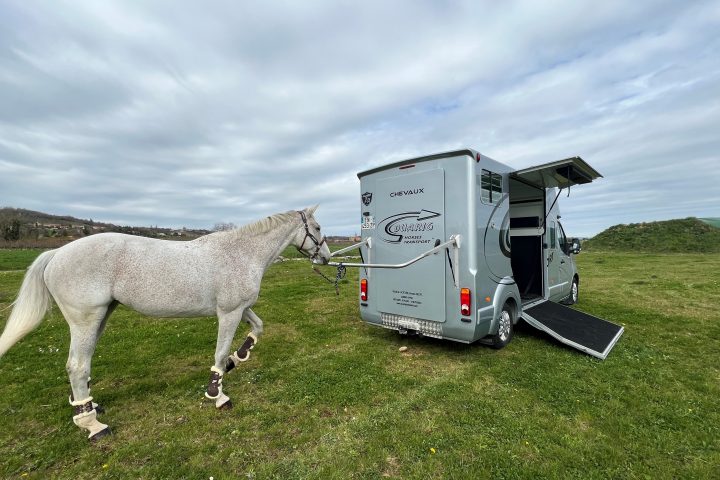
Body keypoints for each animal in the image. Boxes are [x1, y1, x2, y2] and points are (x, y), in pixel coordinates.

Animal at [0, 206, 330, 440]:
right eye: (317, 227)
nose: (325, 257)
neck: (240, 254)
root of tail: (57, 253)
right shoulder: (229, 313)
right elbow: (220, 351)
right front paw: (217, 394)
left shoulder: (240, 308)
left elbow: (257, 328)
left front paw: (238, 358)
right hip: (86, 320)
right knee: (77, 366)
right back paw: (93, 425)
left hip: (100, 317)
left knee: (83, 362)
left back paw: (89, 407)